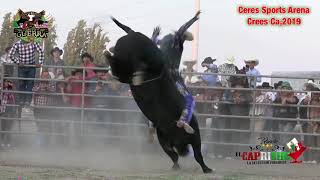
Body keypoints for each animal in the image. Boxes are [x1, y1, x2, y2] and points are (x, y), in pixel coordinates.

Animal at [106, 11, 214, 174]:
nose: (184, 151)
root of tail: (132, 34)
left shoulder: (163, 136)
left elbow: (173, 154)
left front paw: (177, 166)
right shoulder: (192, 134)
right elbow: (196, 153)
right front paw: (206, 168)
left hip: (127, 63)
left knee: (121, 70)